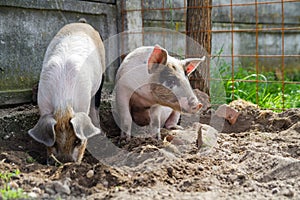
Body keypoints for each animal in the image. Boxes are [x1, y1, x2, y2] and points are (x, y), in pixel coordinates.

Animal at [28, 22, 105, 163]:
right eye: (54, 143)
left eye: (77, 141)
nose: (65, 162)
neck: (63, 105)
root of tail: (82, 23)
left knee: (96, 103)